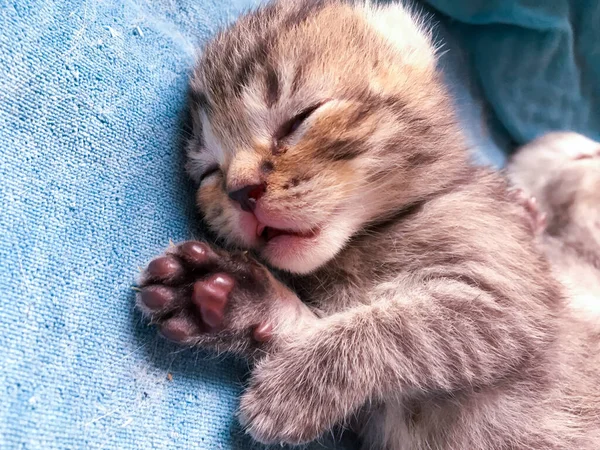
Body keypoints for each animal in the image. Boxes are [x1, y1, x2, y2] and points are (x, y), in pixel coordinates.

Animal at [136, 1, 600, 448]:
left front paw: (296, 385)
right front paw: (231, 297)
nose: (241, 192)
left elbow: (400, 328)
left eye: (298, 120)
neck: (370, 238)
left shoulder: (509, 293)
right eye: (209, 171)